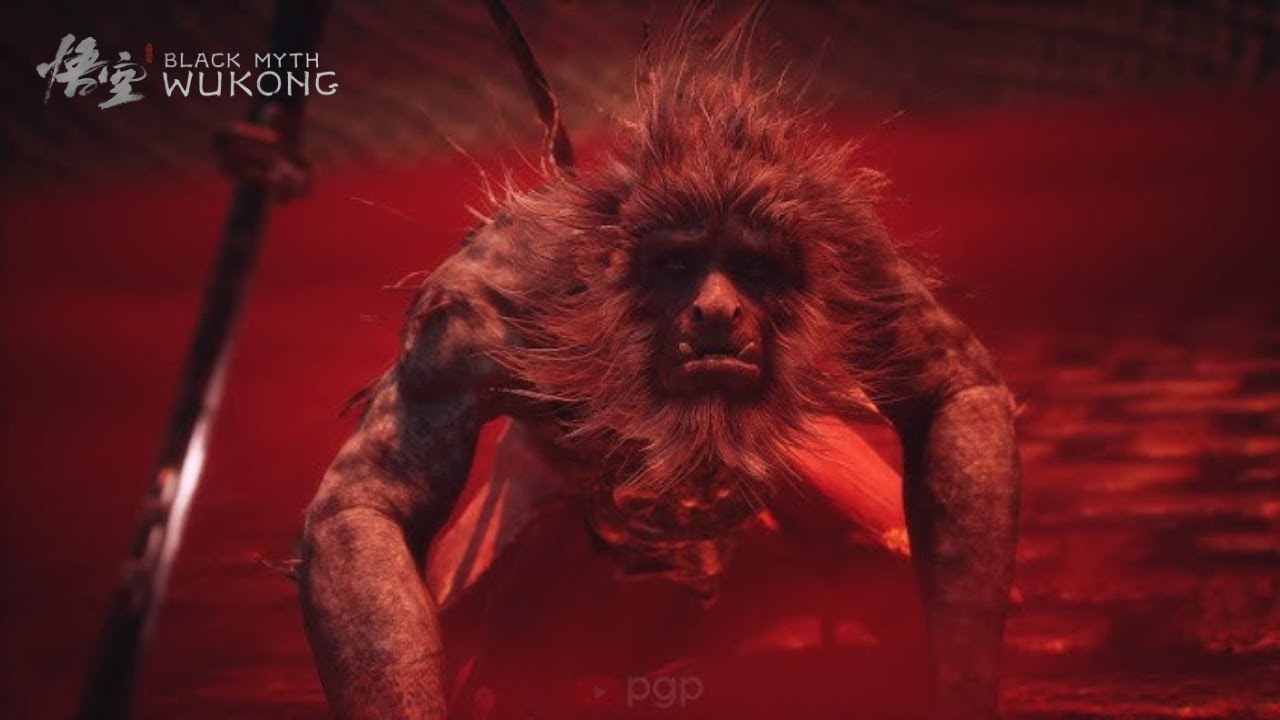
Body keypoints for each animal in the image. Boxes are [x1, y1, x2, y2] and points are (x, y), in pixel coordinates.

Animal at [298, 9, 1019, 720]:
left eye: (752, 267)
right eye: (677, 263)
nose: (716, 312)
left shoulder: (861, 264)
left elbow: (950, 385)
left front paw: (959, 683)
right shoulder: (468, 321)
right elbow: (367, 500)